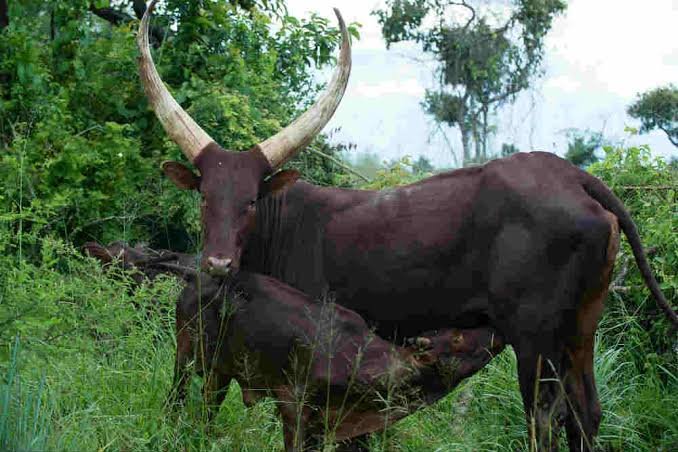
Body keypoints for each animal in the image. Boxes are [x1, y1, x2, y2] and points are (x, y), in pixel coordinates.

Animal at [173, 271, 505, 451]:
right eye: (457, 338)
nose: (496, 330)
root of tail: (198, 277)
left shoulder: (324, 420)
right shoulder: (293, 402)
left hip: (219, 371)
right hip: (185, 351)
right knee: (178, 397)